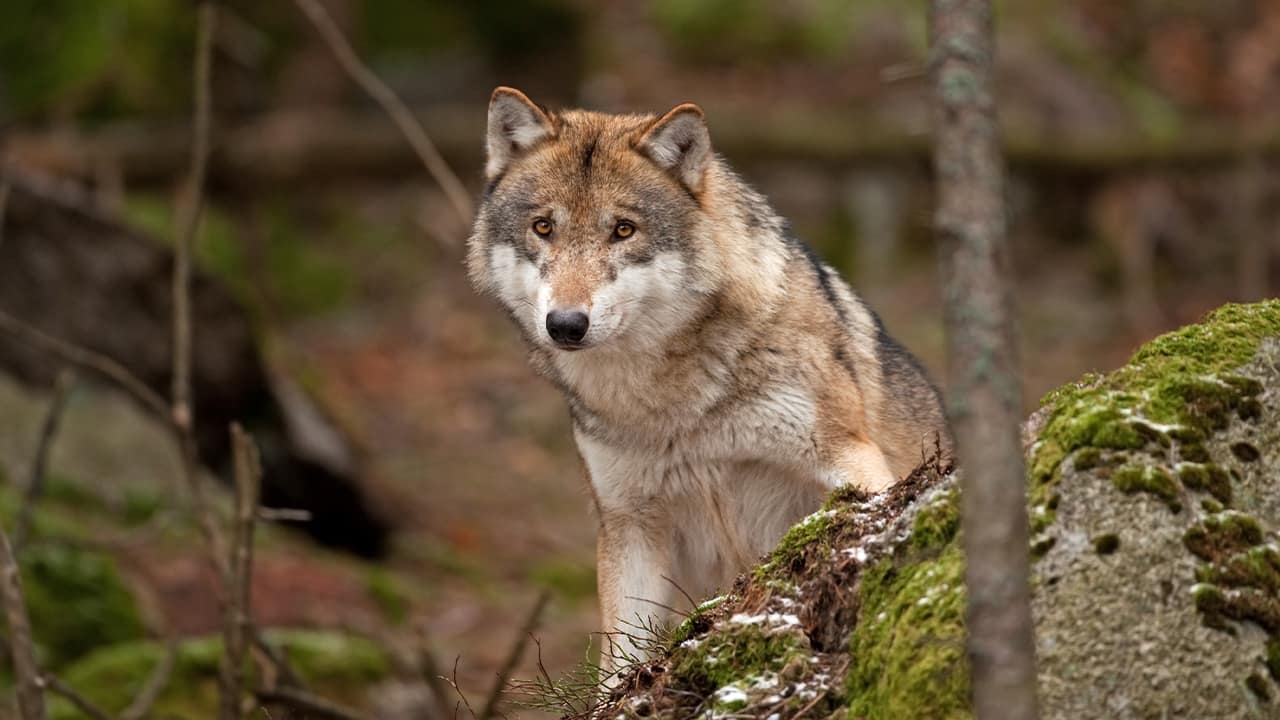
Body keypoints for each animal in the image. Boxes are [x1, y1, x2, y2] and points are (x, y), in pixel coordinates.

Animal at [467, 87, 951, 665]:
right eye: (543, 227)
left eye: (623, 230)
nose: (565, 325)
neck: (675, 404)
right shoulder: (630, 526)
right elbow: (619, 661)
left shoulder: (851, 463)